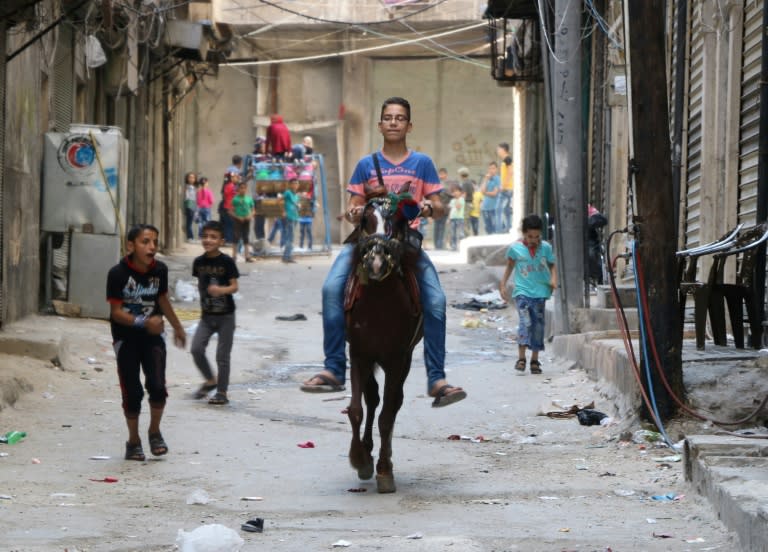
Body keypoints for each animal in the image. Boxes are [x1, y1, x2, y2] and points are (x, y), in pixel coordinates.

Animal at [344, 190, 424, 492]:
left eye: (398, 222)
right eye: (365, 220)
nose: (376, 263)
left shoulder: (396, 358)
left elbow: (387, 415)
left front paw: (384, 470)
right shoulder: (359, 354)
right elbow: (356, 409)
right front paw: (360, 459)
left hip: (405, 360)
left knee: (392, 404)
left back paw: (383, 458)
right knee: (372, 398)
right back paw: (367, 450)